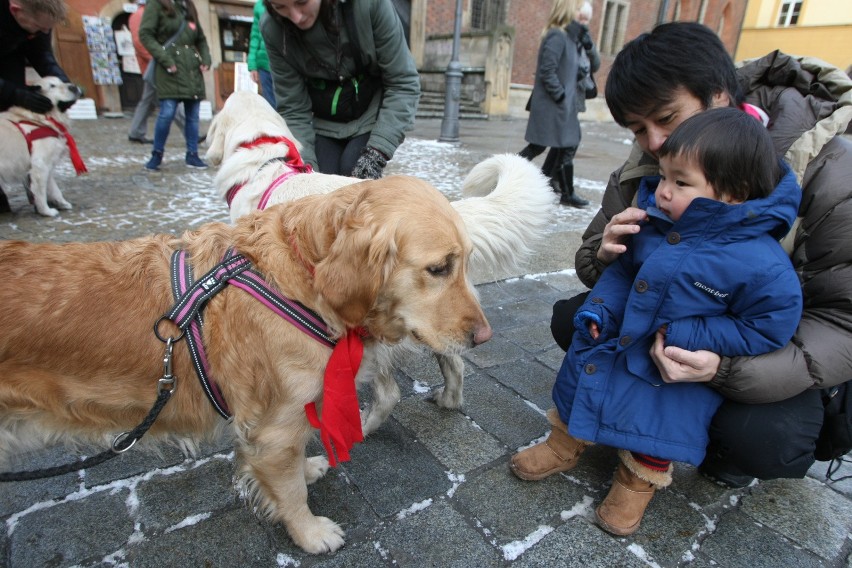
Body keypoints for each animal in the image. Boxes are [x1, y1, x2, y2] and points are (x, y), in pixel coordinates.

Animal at [0, 75, 84, 215]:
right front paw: (46, 211)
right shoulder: (40, 165)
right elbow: (40, 192)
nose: (73, 87)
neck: (39, 118)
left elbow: (54, 189)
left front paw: (61, 203)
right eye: (52, 86)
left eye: (62, 81)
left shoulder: (47, 165)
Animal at [0, 176, 492, 552]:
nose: (484, 338)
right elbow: (290, 491)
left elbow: (290, 470)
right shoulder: (274, 428)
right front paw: (310, 534)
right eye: (439, 268)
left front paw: (306, 470)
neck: (299, 279)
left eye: (467, 261)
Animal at [206, 91, 552, 434]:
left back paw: (361, 426)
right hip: (441, 322)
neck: (267, 164)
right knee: (455, 363)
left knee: (389, 394)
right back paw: (448, 400)